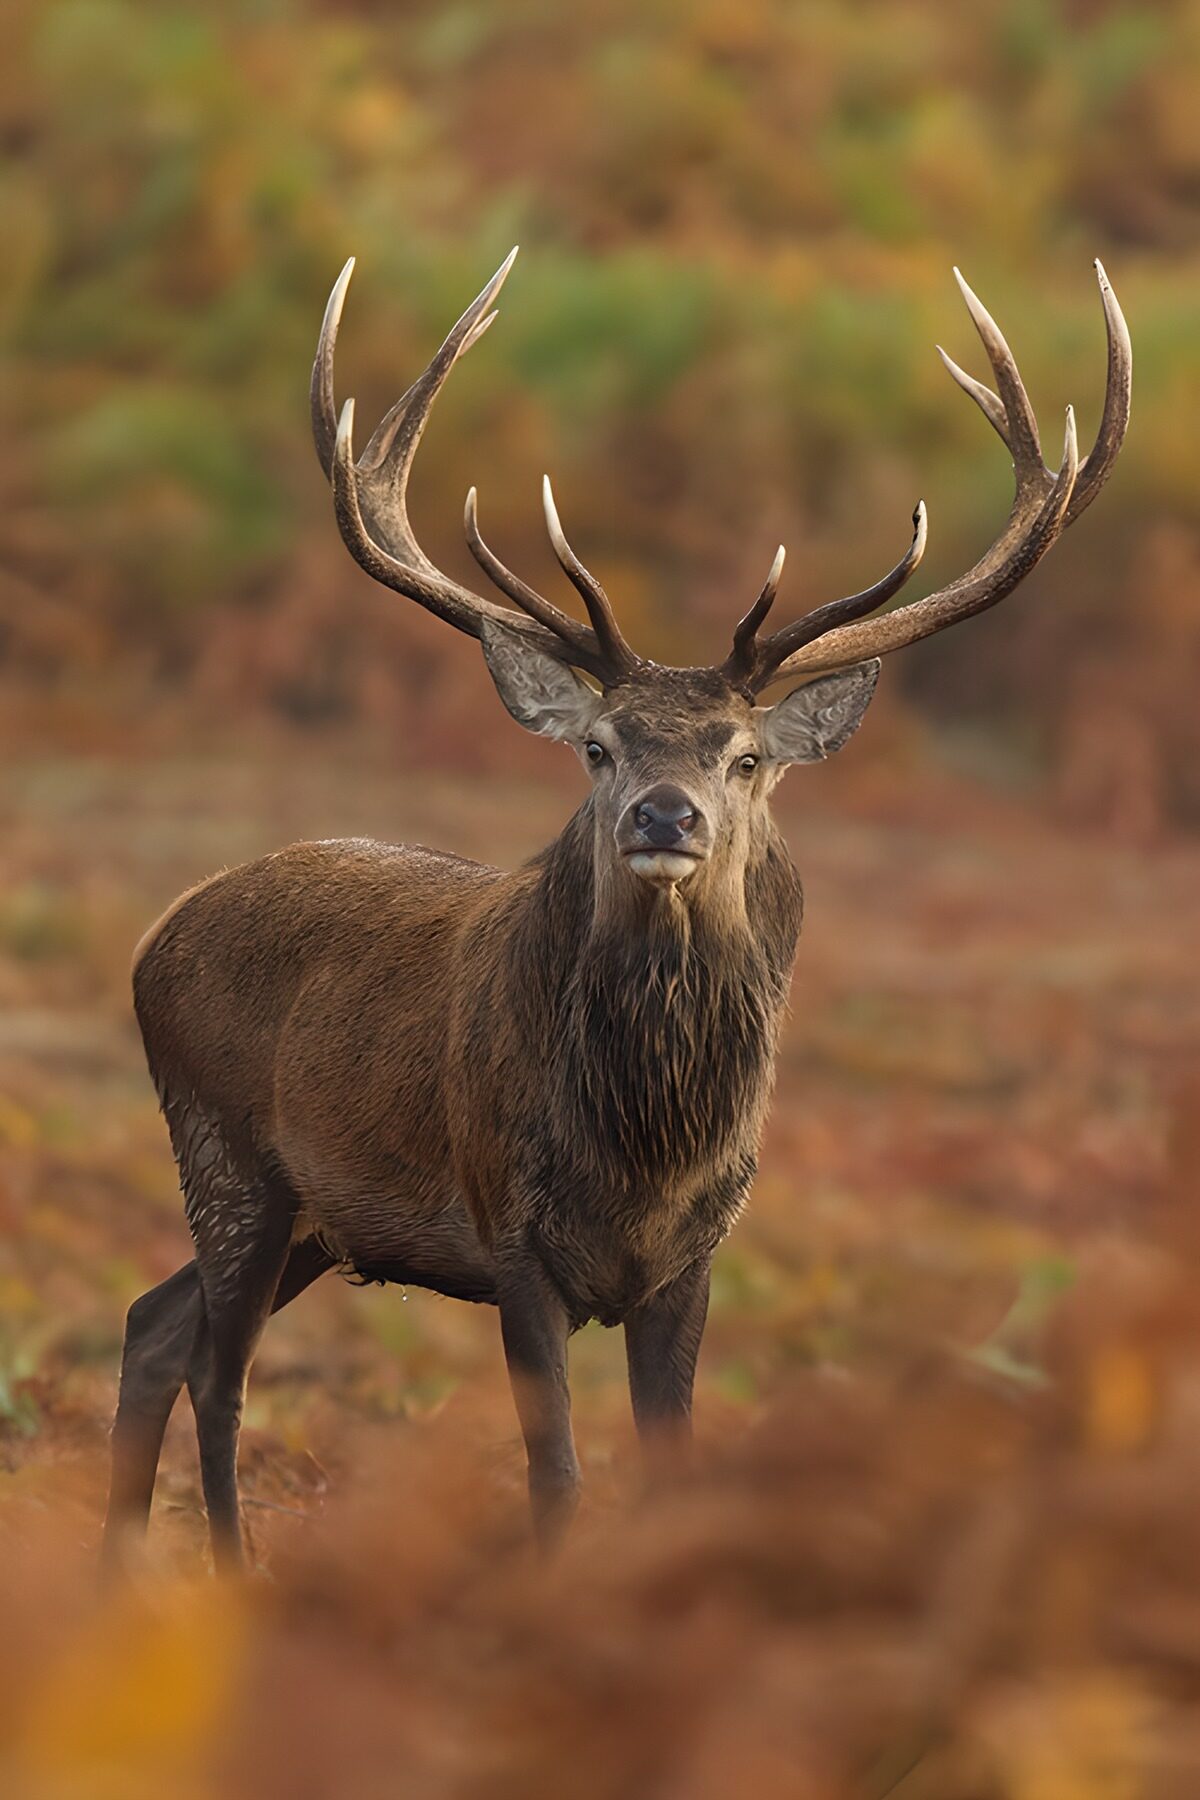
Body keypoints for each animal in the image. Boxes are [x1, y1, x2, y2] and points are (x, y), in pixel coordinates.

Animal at [102, 248, 1130, 1571]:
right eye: (596, 747)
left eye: (747, 757)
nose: (664, 815)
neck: (643, 1152)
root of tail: (156, 934)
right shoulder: (509, 1230)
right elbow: (558, 1480)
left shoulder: (696, 1258)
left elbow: (672, 1471)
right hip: (229, 1152)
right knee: (215, 1371)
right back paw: (227, 1569)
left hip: (317, 1223)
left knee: (151, 1322)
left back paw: (113, 1568)